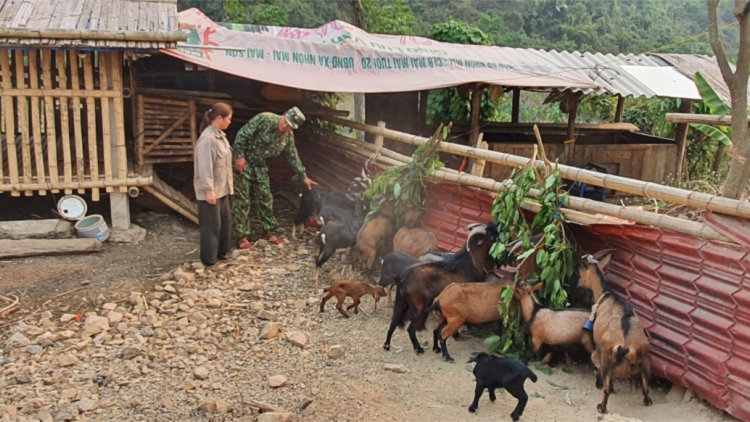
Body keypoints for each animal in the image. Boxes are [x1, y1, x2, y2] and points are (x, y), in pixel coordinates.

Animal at [580, 251, 652, 412]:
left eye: (580, 273)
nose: (578, 284)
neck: (607, 295)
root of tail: (626, 347)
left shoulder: (599, 346)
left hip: (607, 356)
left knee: (606, 384)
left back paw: (601, 407)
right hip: (645, 358)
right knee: (645, 387)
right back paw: (647, 401)